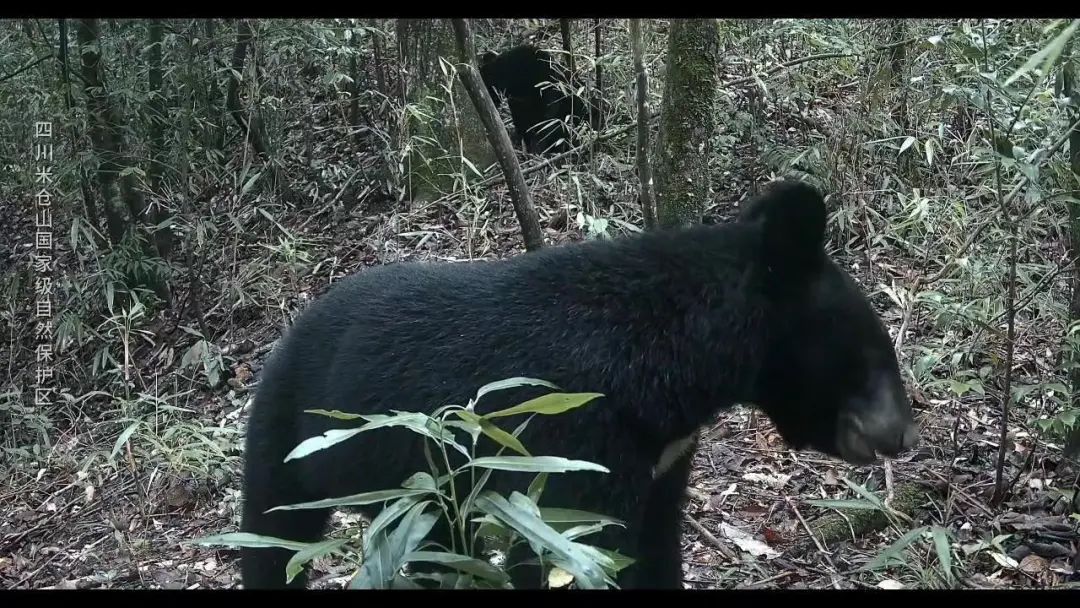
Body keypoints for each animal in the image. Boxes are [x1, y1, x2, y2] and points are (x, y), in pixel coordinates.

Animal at [238, 178, 920, 587]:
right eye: (871, 350)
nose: (903, 434)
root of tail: (283, 336)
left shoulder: (663, 458)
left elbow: (652, 547)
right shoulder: (573, 439)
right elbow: (566, 546)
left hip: (422, 497)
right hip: (290, 441)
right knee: (271, 537)